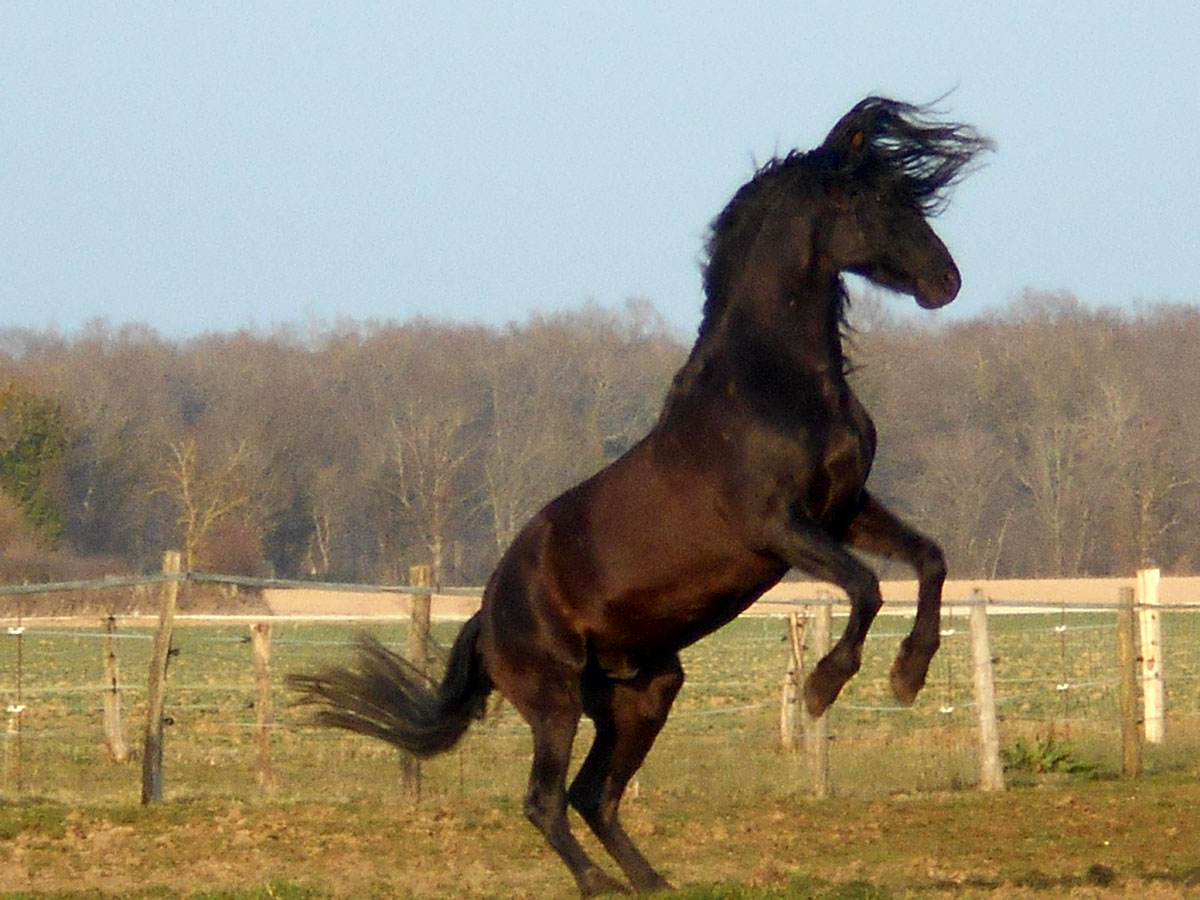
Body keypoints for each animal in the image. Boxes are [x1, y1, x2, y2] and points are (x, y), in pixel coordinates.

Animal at [292, 95, 993, 897]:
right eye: (875, 201)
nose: (947, 281)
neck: (773, 385)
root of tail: (486, 618)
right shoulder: (778, 528)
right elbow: (867, 586)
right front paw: (823, 685)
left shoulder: (844, 509)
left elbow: (929, 559)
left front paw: (909, 675)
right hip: (556, 700)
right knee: (545, 799)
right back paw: (599, 883)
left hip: (642, 696)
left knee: (593, 795)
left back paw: (650, 882)